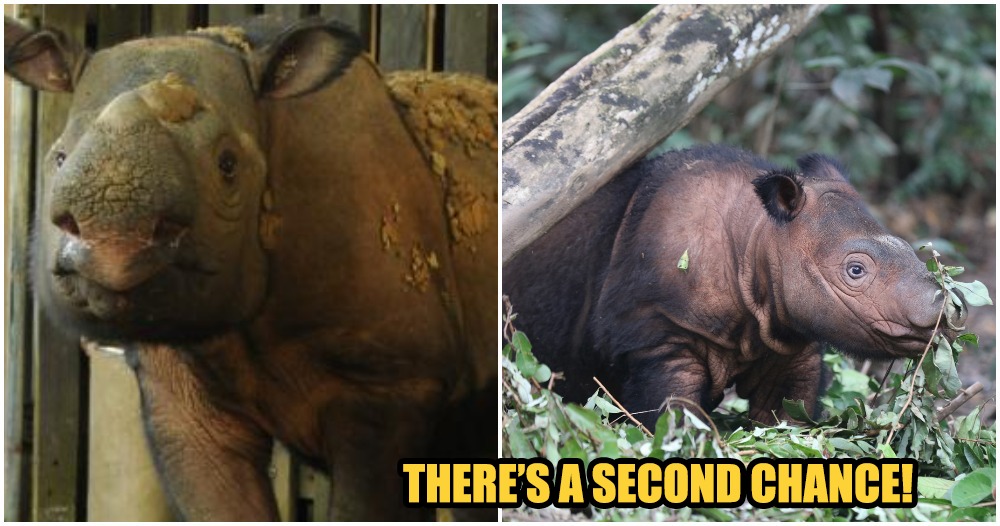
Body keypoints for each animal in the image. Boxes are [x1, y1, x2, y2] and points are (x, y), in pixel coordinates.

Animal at [503, 145, 966, 428]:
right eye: (855, 270)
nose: (944, 307)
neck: (755, 240)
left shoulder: (785, 332)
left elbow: (789, 415)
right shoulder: (658, 331)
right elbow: (673, 413)